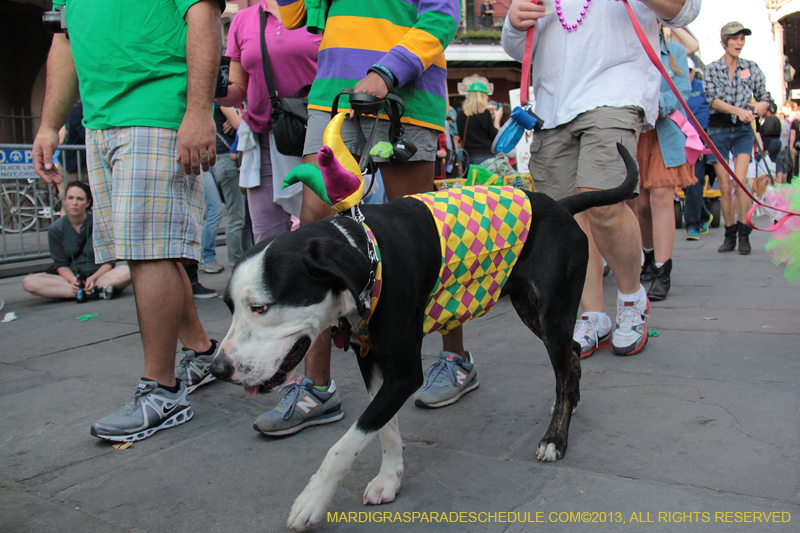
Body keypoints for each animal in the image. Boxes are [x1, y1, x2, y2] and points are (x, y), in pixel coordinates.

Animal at [211, 144, 636, 528]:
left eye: (261, 307)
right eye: (229, 306)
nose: (217, 369)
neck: (364, 254)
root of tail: (560, 205)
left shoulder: (404, 373)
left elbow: (345, 444)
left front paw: (313, 500)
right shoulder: (373, 362)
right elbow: (382, 428)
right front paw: (389, 478)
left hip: (551, 313)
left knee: (564, 364)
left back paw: (555, 438)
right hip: (532, 309)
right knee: (573, 355)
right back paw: (570, 405)